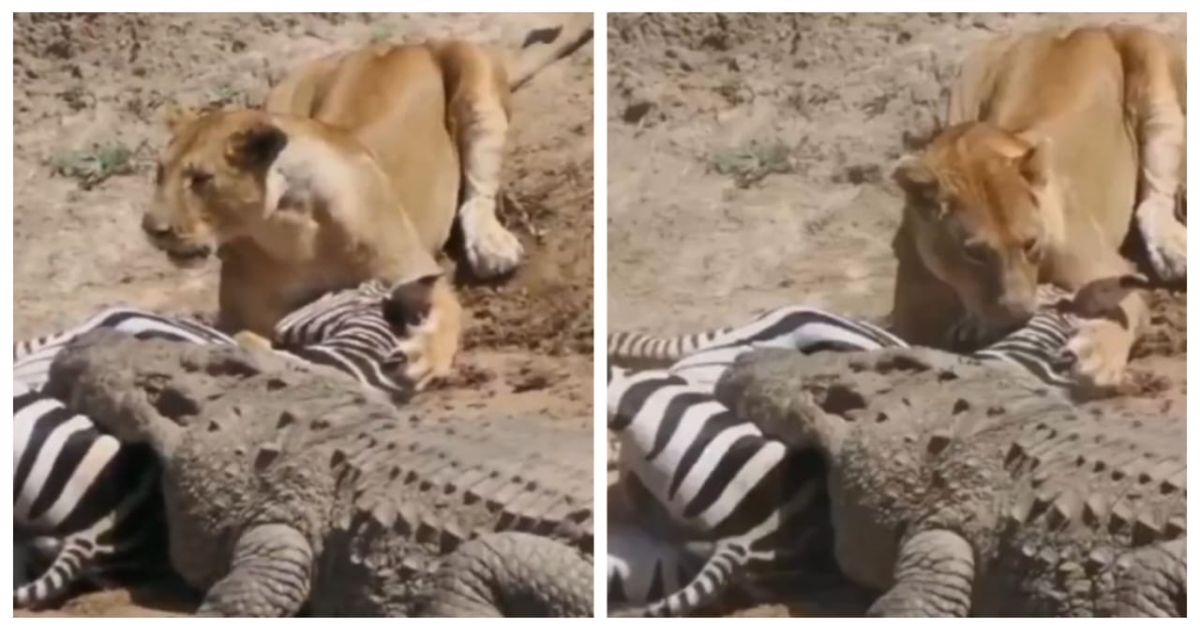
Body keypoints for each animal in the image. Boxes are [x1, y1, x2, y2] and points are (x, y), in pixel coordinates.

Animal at [141, 15, 593, 388]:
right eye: (159, 173)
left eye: (201, 179)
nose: (152, 229)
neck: (287, 232)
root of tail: (391, 45)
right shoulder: (242, 316)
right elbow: (242, 336)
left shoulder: (419, 276)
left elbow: (444, 317)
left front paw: (422, 358)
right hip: (283, 92)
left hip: (472, 75)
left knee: (478, 189)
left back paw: (492, 247)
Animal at [888, 24, 1186, 394]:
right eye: (974, 253)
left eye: (1030, 243)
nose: (1018, 315)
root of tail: (1070, 27)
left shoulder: (1109, 268)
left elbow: (1126, 304)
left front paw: (1096, 357)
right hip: (964, 85)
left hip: (1154, 81)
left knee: (1155, 196)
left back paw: (1174, 251)